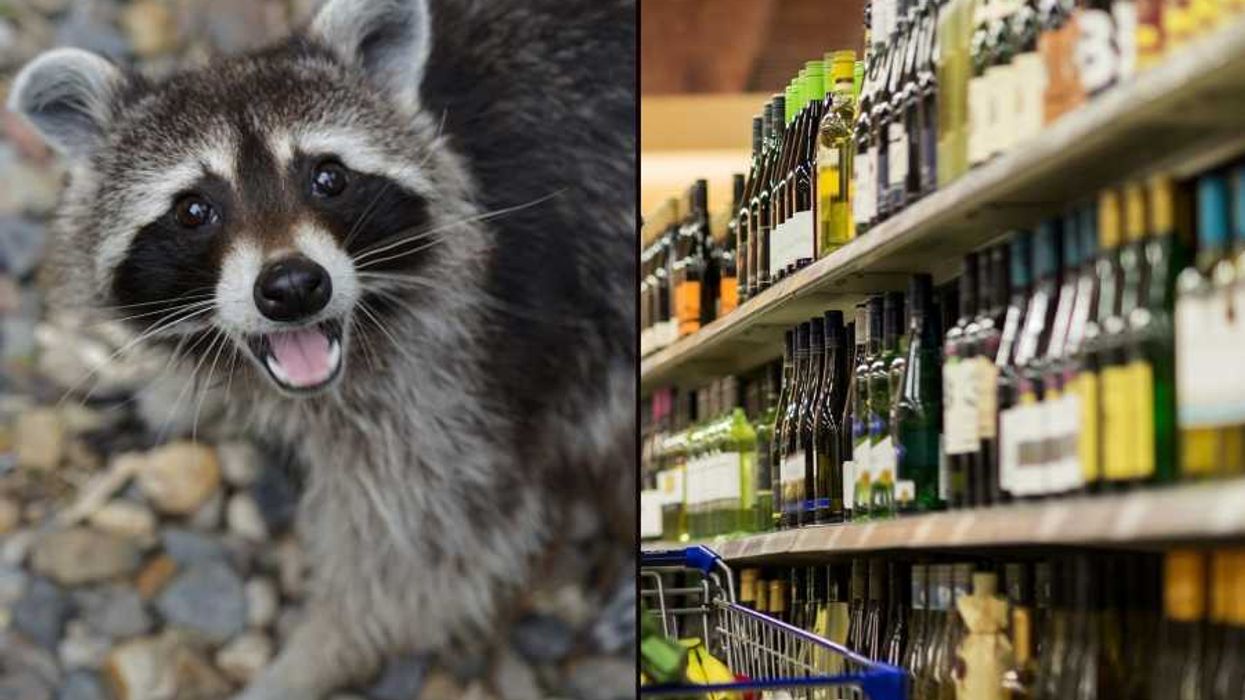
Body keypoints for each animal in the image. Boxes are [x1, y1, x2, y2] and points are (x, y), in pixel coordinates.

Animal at [9, 0, 636, 696]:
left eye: (328, 177)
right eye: (194, 209)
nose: (292, 287)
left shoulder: (465, 372)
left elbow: (428, 555)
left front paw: (304, 661)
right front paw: (171, 397)